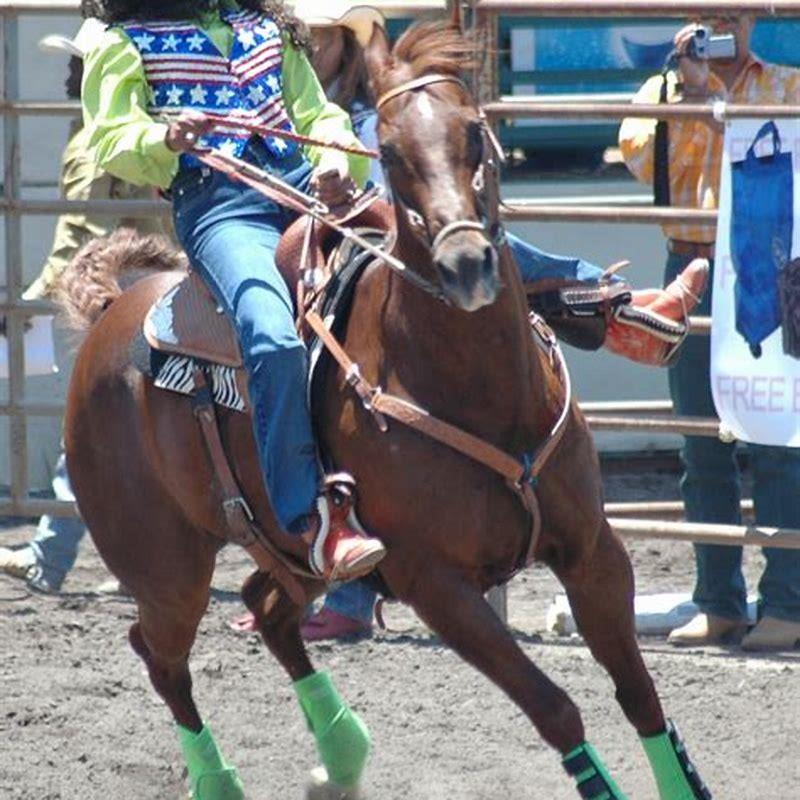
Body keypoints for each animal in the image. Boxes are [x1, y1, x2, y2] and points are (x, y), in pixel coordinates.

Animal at [60, 16, 711, 800]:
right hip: (165, 569)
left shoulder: (593, 550)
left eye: (474, 132)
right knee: (160, 655)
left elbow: (639, 692)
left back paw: (341, 755)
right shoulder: (435, 584)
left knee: (265, 609)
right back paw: (220, 781)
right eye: (392, 151)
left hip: (292, 557)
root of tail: (108, 316)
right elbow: (555, 709)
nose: (466, 265)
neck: (487, 397)